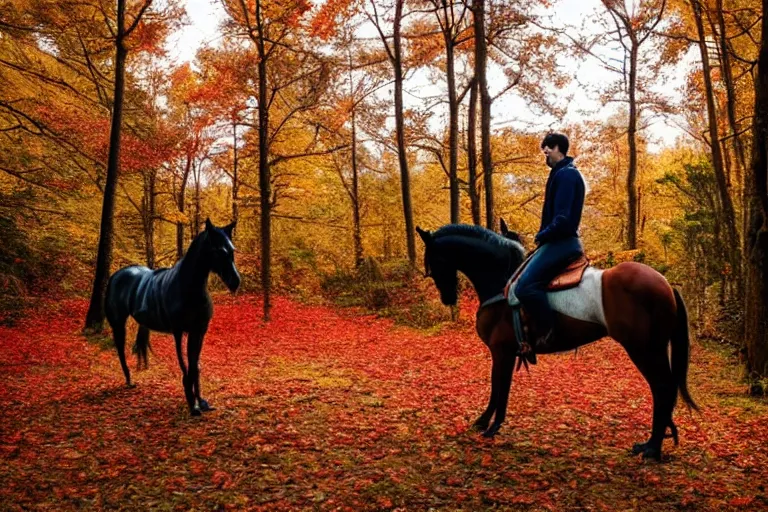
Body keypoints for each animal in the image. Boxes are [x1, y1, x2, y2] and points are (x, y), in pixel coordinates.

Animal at [103, 218, 238, 414]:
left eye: (232, 250)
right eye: (219, 250)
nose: (235, 282)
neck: (188, 288)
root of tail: (116, 276)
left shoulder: (199, 332)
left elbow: (195, 366)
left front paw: (201, 402)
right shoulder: (179, 332)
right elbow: (185, 366)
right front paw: (192, 404)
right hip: (118, 323)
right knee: (120, 350)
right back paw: (129, 381)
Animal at [416, 224, 700, 460]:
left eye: (432, 260)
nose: (447, 298)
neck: (501, 284)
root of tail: (665, 283)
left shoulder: (502, 352)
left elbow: (499, 388)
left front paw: (489, 425)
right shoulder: (506, 354)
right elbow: (500, 389)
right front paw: (487, 423)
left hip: (644, 350)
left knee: (662, 387)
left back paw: (652, 448)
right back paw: (653, 444)